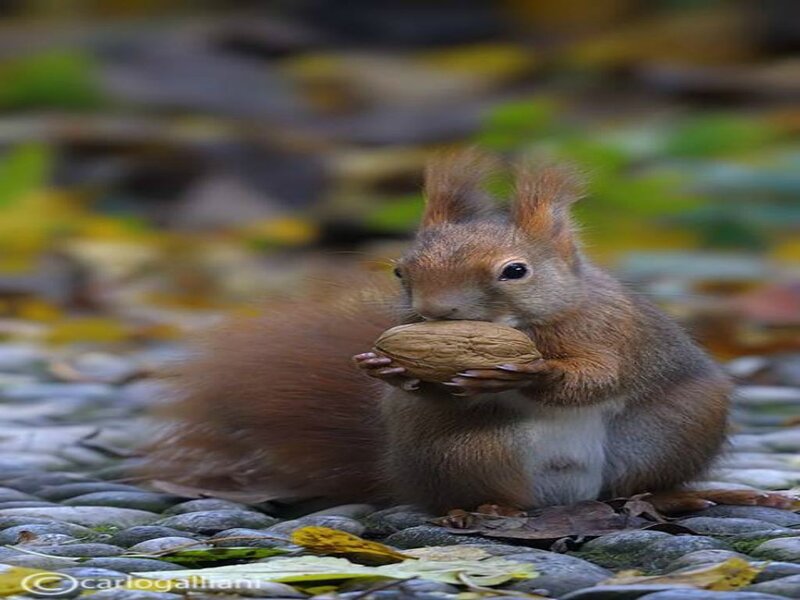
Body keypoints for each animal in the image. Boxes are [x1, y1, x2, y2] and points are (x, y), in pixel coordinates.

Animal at [147, 149, 791, 515]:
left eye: (516, 271)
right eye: (400, 271)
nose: (435, 312)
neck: (529, 324)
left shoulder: (611, 333)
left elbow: (594, 377)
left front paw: (533, 371)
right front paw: (387, 368)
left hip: (672, 428)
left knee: (634, 489)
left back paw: (685, 495)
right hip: (466, 454)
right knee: (486, 494)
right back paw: (478, 513)